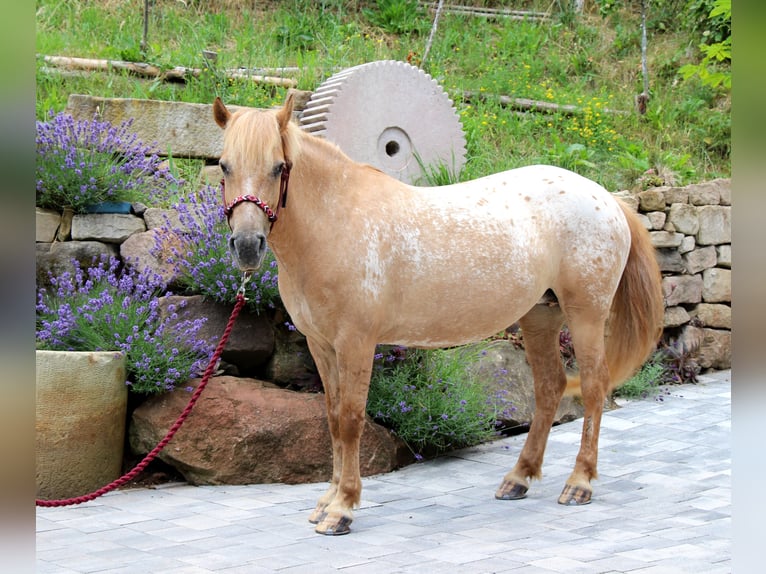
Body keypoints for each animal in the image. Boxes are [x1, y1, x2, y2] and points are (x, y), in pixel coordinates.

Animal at [212, 94, 664, 536]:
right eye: (224, 165)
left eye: (279, 167)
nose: (247, 246)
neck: (337, 222)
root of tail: (607, 198)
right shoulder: (321, 344)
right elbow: (332, 418)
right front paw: (326, 501)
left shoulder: (356, 343)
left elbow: (351, 420)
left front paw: (342, 508)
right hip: (540, 317)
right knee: (550, 387)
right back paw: (518, 478)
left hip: (586, 315)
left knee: (593, 386)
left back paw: (579, 483)